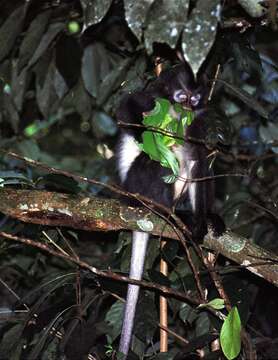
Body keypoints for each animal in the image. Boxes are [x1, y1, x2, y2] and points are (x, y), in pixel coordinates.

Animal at [115, 62, 219, 358]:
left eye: (195, 99)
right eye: (181, 97)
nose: (187, 107)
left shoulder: (196, 121)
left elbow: (199, 160)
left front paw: (203, 220)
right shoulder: (152, 99)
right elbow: (127, 107)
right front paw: (157, 138)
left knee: (194, 160)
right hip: (136, 187)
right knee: (158, 162)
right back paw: (163, 209)